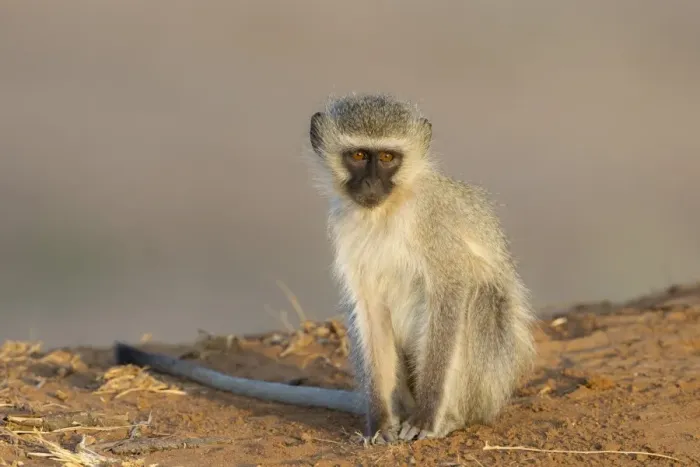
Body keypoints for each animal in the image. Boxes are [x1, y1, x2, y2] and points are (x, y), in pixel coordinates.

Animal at [114, 93, 536, 444]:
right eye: (358, 156)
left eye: (387, 158)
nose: (370, 184)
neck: (387, 210)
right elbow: (368, 307)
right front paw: (380, 424)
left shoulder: (434, 222)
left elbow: (452, 289)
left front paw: (427, 418)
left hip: (487, 390)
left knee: (482, 298)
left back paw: (448, 419)